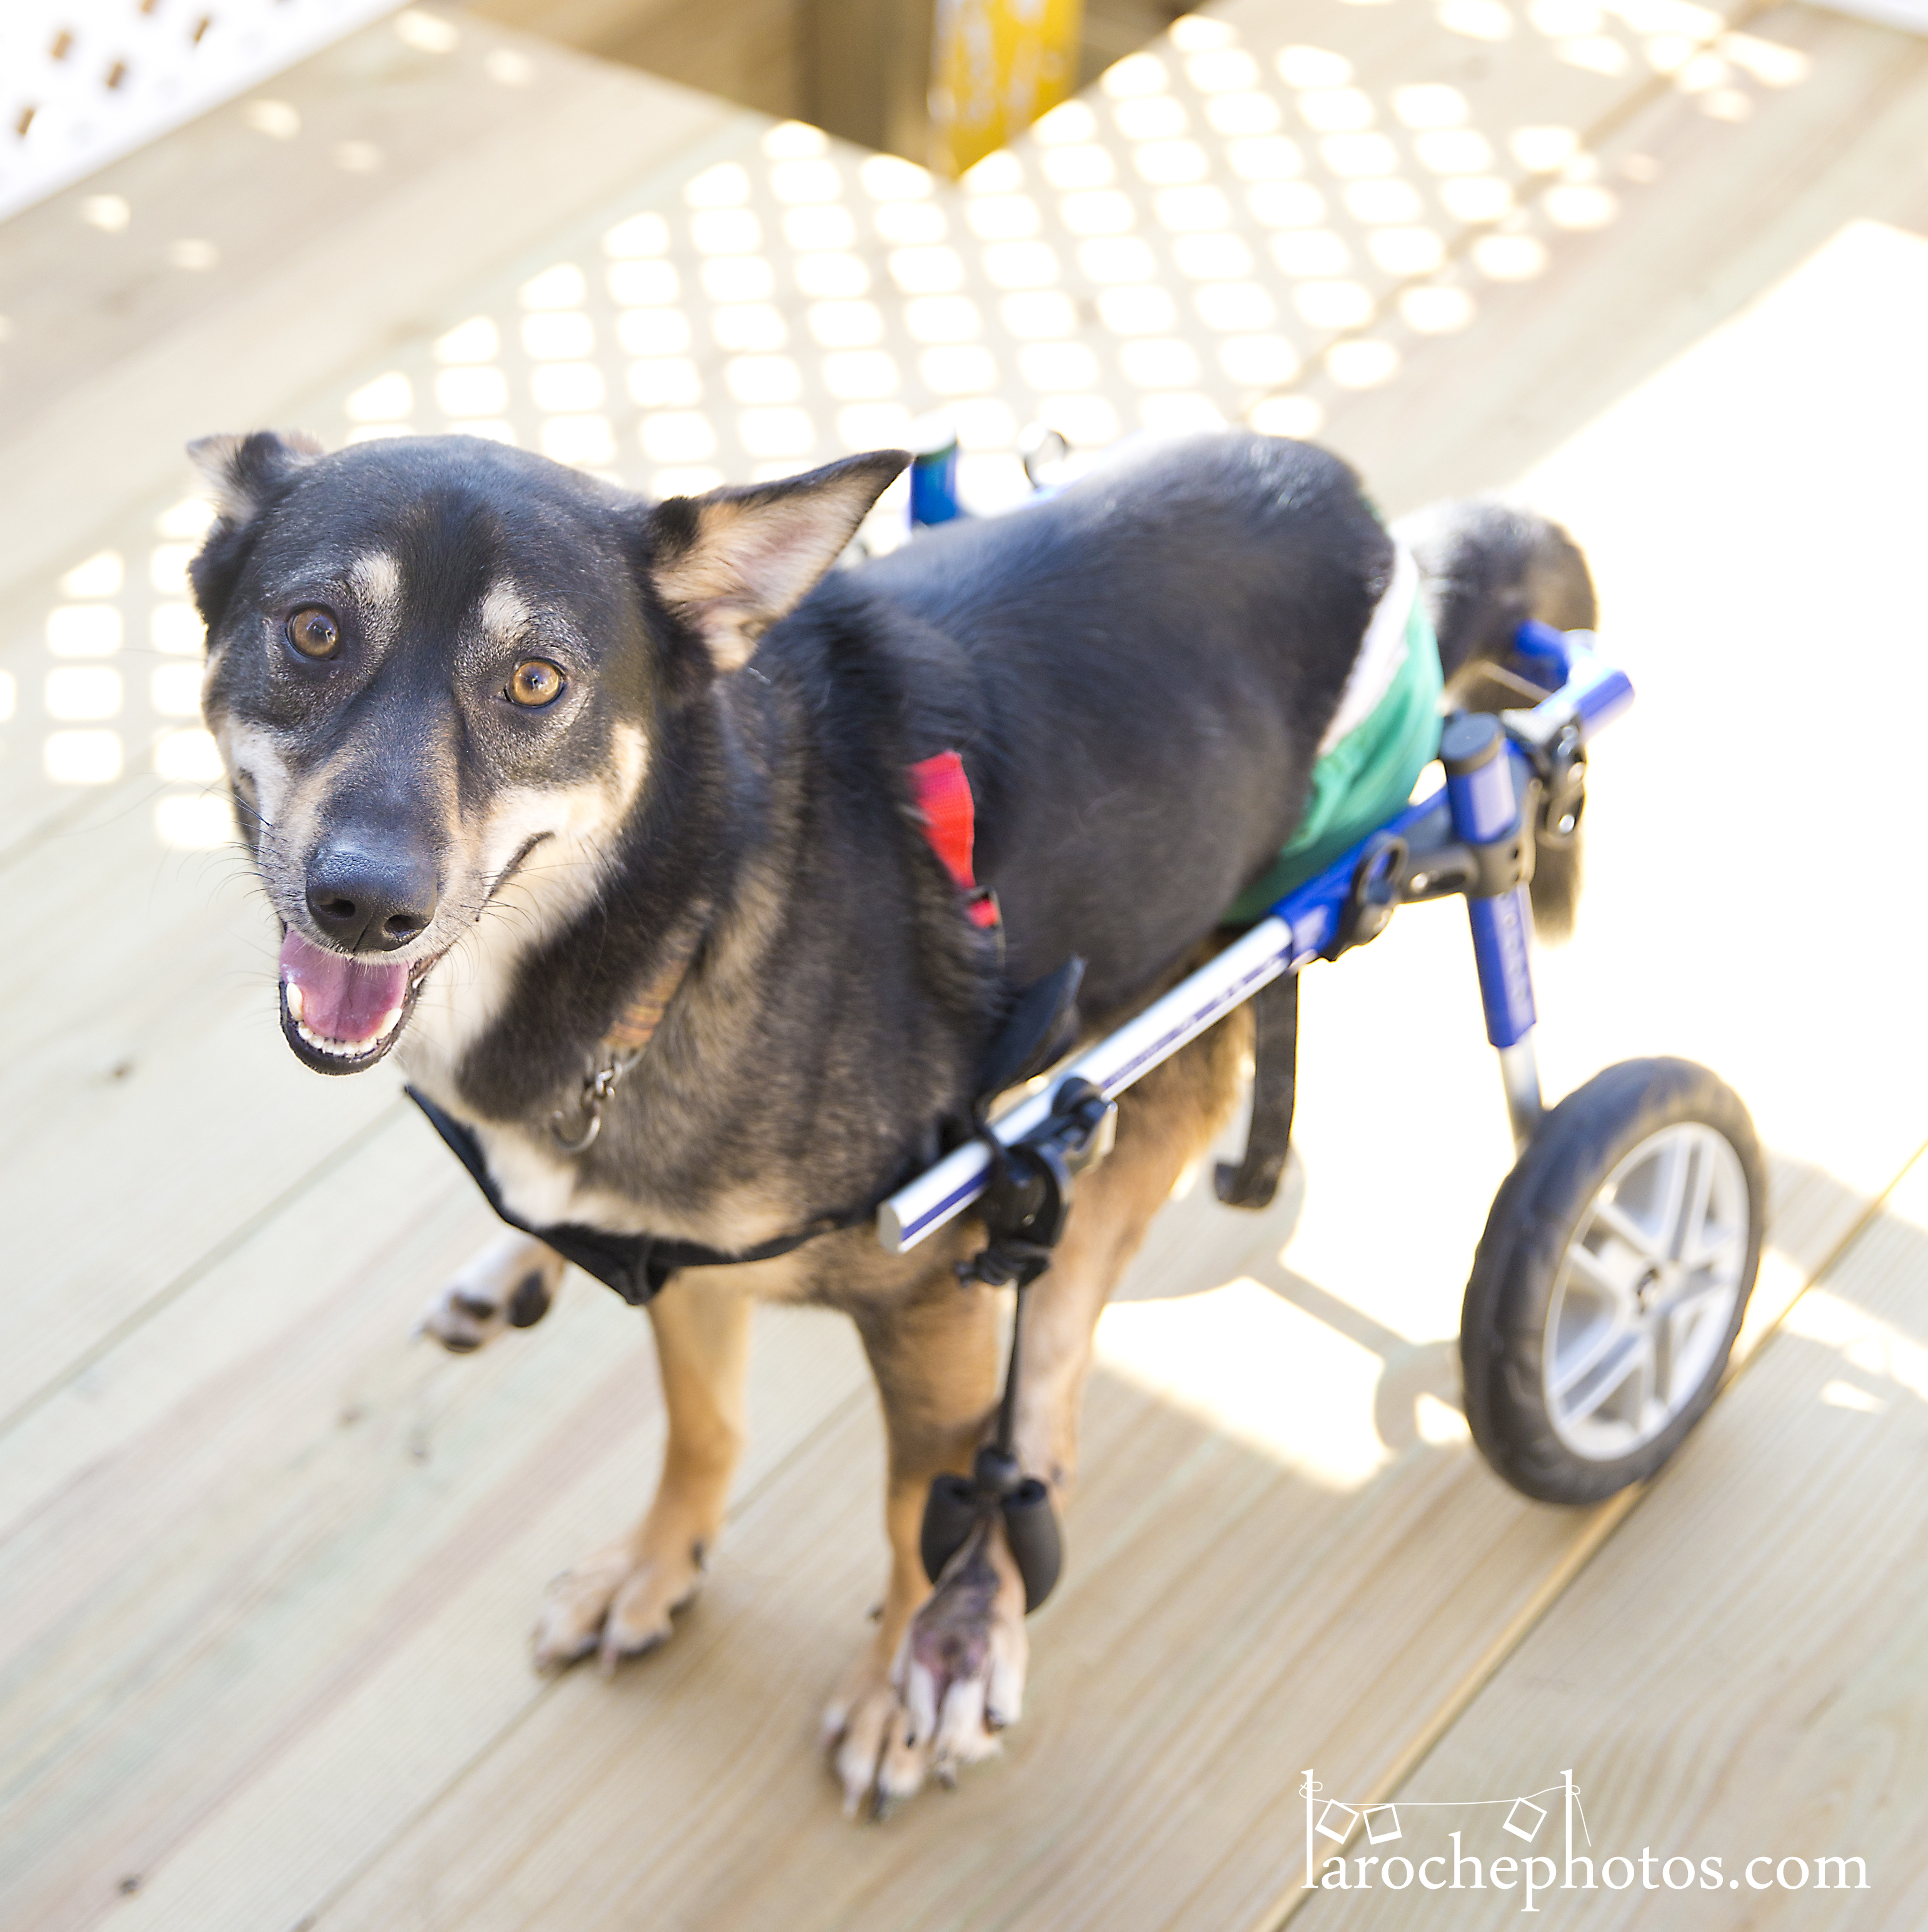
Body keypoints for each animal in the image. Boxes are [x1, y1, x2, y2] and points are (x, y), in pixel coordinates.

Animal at [188, 426, 1592, 1808]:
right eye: (312, 631)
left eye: (536, 682)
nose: (365, 906)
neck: (678, 914)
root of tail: (1375, 525)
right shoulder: (674, 1244)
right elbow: (701, 1421)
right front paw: (658, 1560)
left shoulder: (932, 1297)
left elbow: (925, 1500)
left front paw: (900, 1672)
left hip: (1206, 982)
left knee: (1059, 1349)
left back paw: (981, 1617)